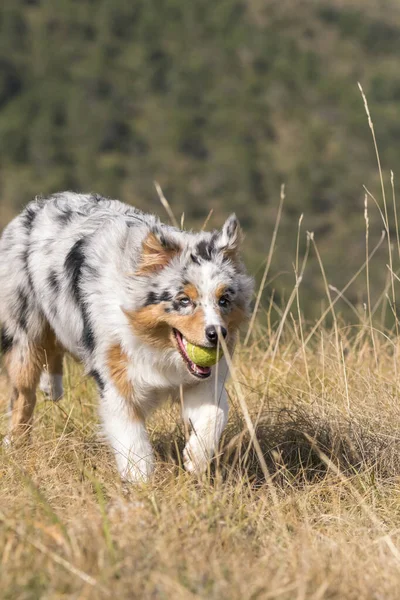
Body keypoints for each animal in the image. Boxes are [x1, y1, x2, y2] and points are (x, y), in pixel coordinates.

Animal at [0, 192, 253, 482]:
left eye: (224, 300)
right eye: (183, 300)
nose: (217, 334)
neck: (158, 347)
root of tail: (37, 204)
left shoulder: (202, 382)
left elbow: (216, 414)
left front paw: (195, 459)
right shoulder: (116, 379)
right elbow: (133, 442)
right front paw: (141, 485)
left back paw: (51, 386)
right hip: (24, 332)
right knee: (23, 395)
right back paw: (16, 444)